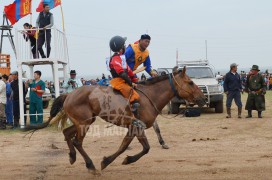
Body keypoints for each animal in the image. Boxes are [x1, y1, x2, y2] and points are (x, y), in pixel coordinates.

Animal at [30, 67, 206, 174]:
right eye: (190, 82)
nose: (203, 97)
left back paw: (72, 157)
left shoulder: (134, 128)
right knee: (77, 142)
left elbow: (131, 147)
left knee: (67, 133)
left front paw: (113, 160)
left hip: (84, 122)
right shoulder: (136, 128)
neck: (149, 96)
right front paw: (116, 161)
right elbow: (138, 148)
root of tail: (69, 94)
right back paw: (90, 166)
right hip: (84, 124)